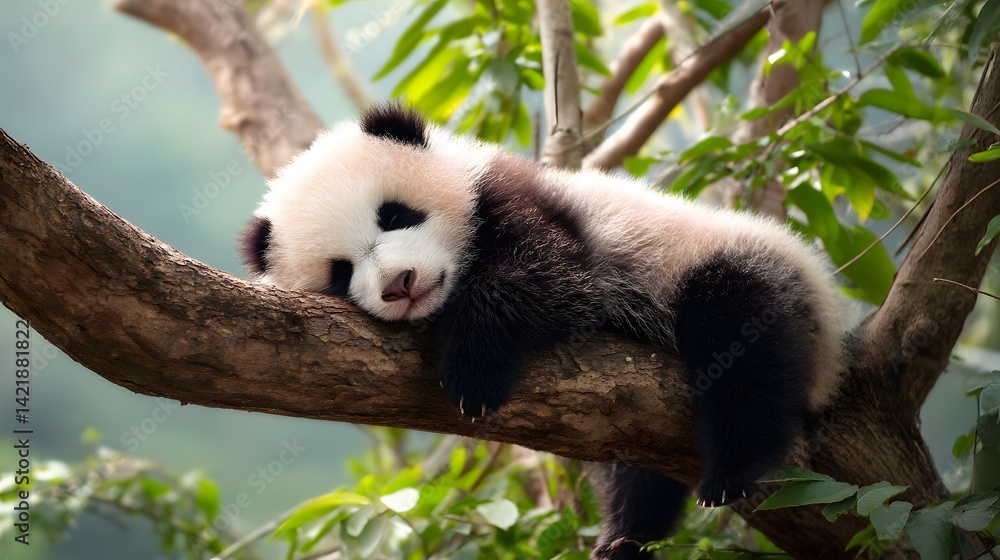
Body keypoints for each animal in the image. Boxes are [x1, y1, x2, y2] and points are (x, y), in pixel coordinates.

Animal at [239, 104, 844, 560]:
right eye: (340, 272)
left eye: (394, 215)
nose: (399, 284)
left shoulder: (521, 203)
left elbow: (548, 273)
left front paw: (473, 374)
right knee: (636, 471)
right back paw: (624, 536)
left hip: (730, 266)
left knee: (744, 349)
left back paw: (732, 470)